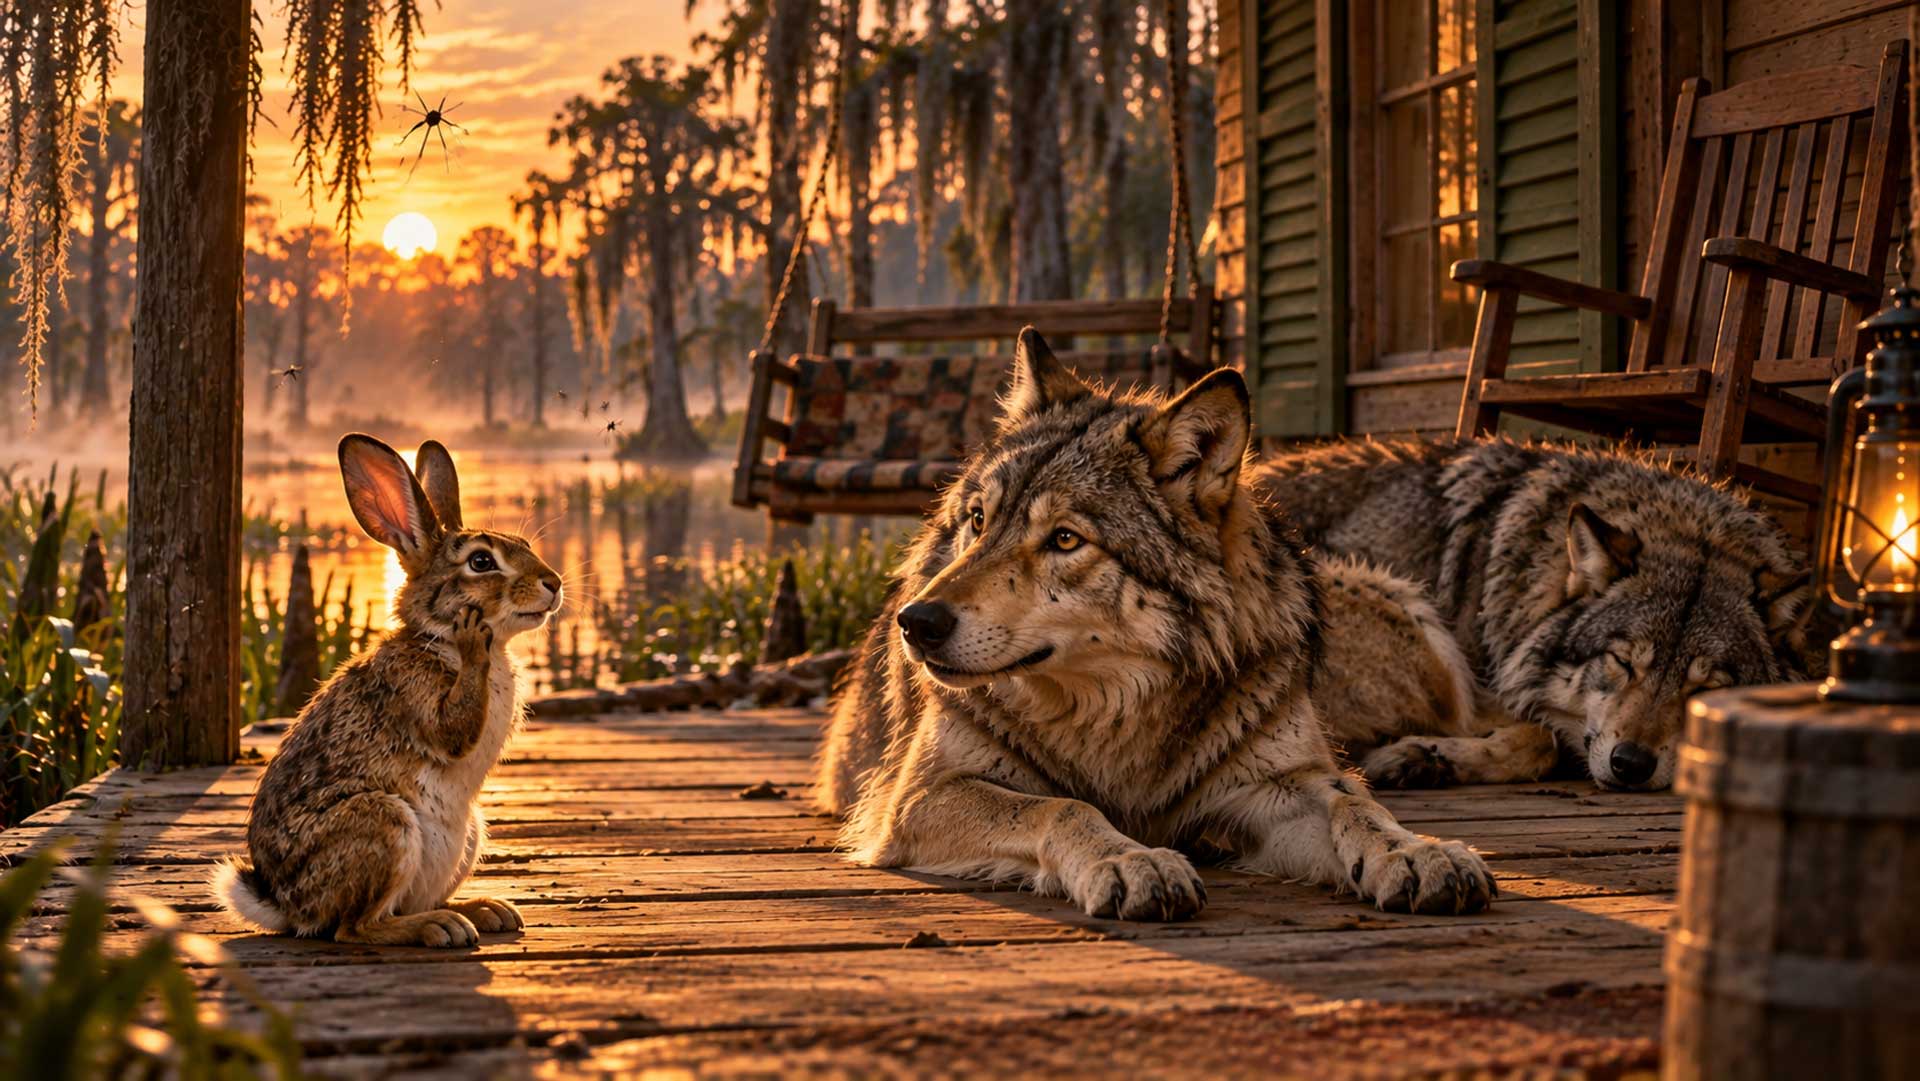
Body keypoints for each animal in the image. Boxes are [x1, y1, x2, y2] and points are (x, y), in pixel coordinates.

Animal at [213, 434, 563, 947]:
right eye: (481, 562)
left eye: (524, 546)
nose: (553, 584)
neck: (438, 638)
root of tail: (284, 905)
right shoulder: (415, 694)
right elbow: (452, 729)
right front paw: (472, 641)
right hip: (383, 823)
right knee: (355, 928)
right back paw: (439, 927)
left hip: (468, 834)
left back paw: (483, 910)